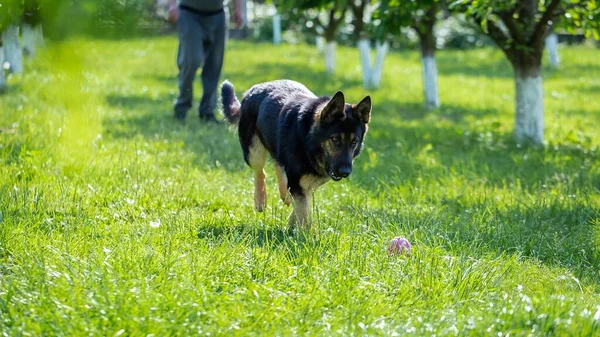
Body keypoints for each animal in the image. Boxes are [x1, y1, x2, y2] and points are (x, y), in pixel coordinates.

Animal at [220, 79, 370, 228]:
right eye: (335, 139)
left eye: (354, 142)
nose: (345, 172)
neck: (308, 140)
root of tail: (255, 88)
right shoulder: (299, 185)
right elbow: (304, 214)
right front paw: (305, 233)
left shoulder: (306, 184)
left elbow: (302, 207)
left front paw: (292, 224)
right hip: (254, 152)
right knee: (260, 171)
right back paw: (260, 200)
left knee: (278, 164)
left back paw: (284, 194)